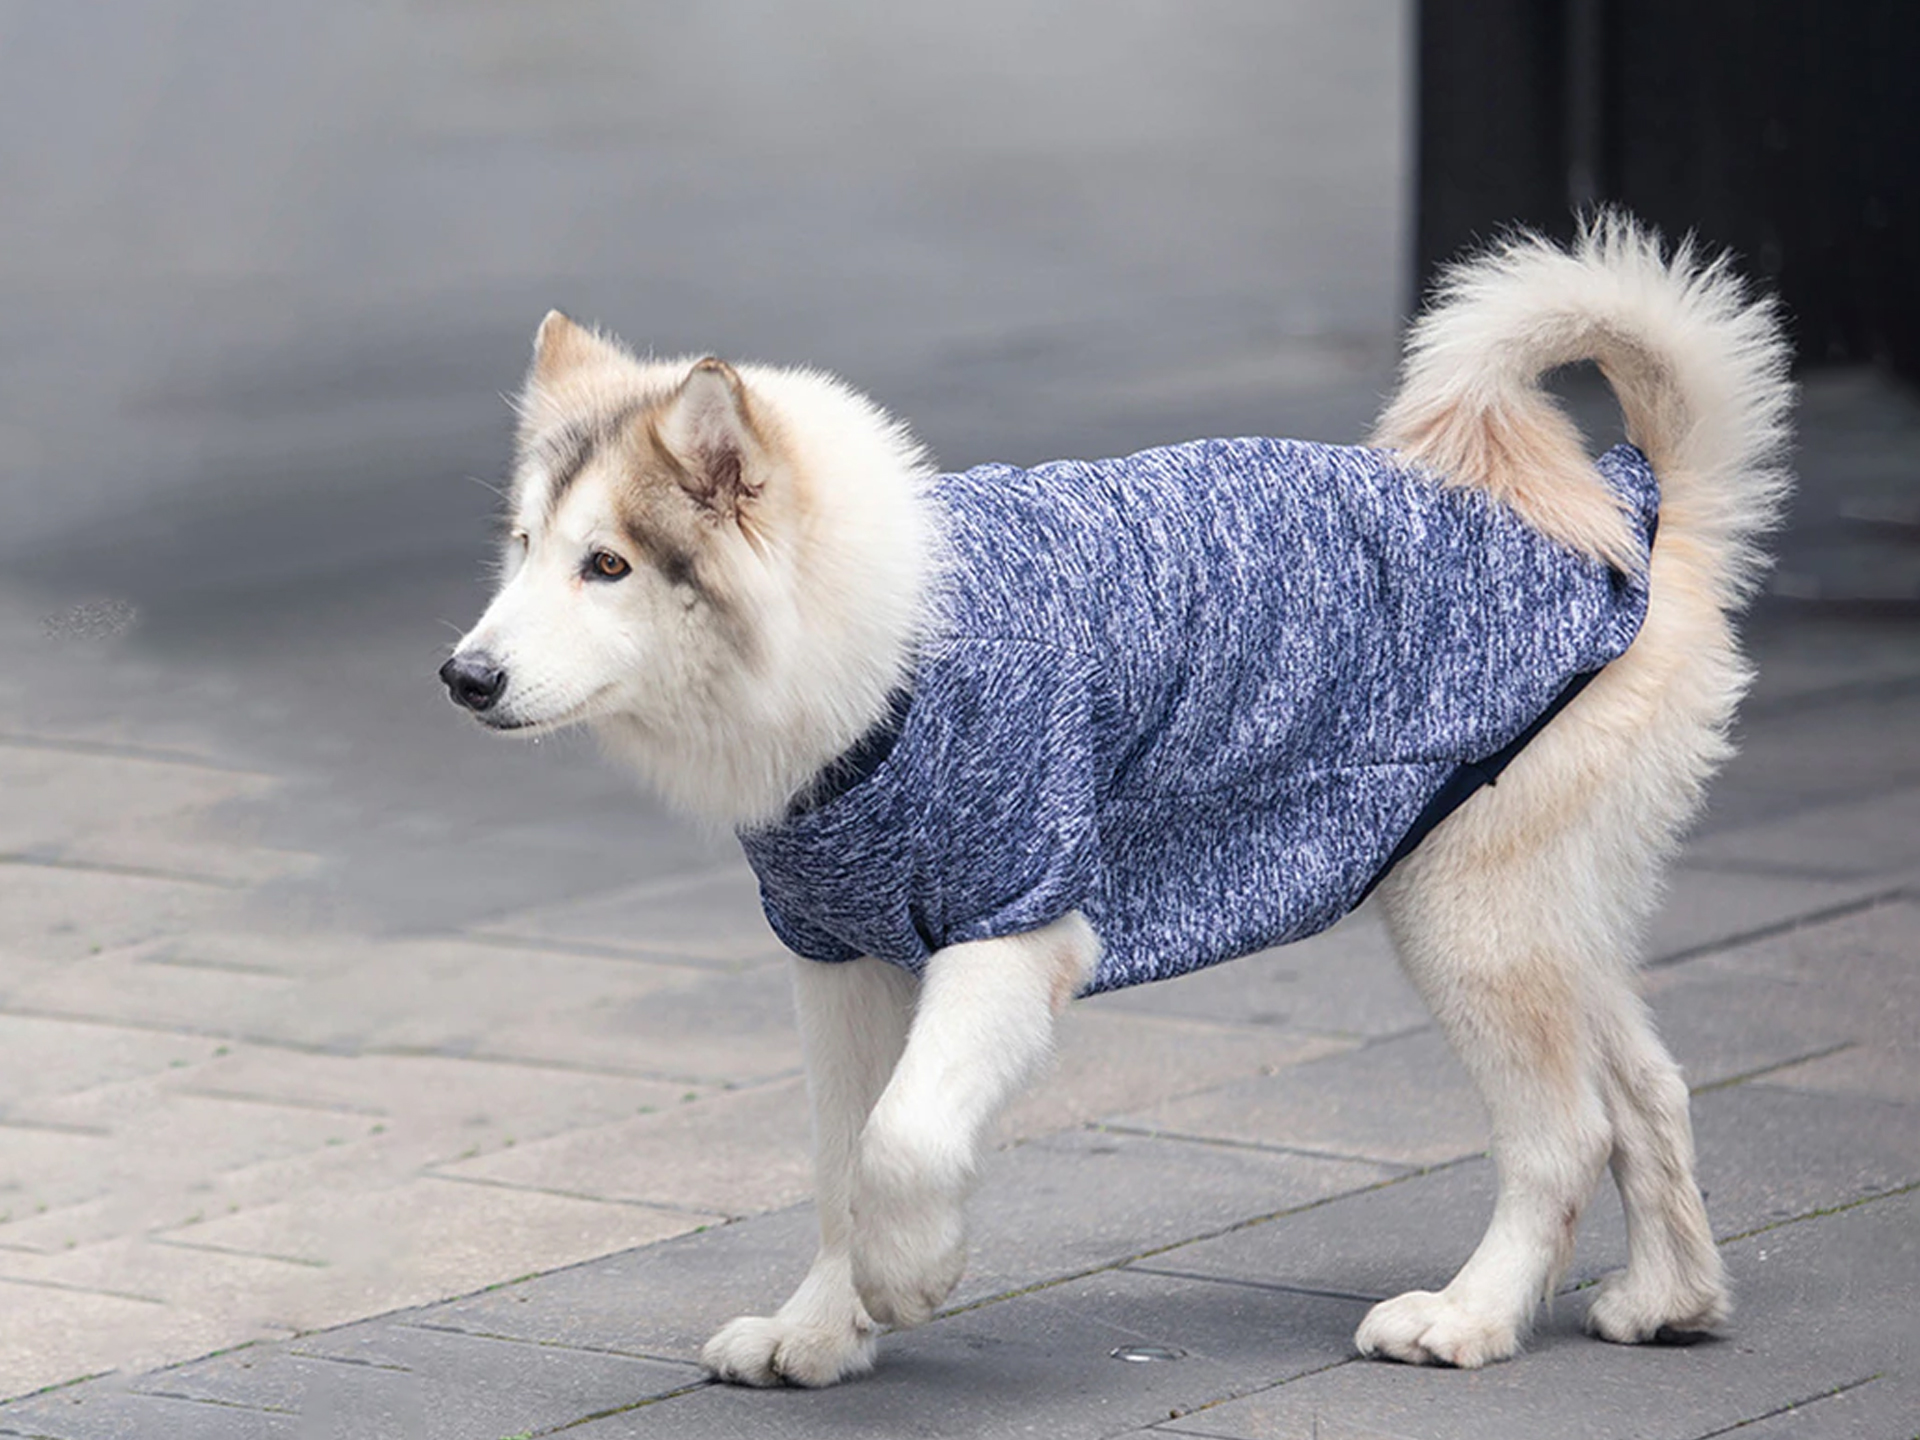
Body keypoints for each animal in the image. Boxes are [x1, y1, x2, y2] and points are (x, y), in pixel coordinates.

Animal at [441, 214, 1789, 1390]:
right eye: (523, 548)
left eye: (608, 565)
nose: (464, 679)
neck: (888, 661)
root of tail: (1643, 517)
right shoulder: (840, 958)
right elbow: (838, 1156)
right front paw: (822, 1329)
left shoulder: (1016, 921)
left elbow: (901, 1140)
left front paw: (908, 1276)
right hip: (1543, 907)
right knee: (1646, 1091)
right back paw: (1667, 1302)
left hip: (1470, 913)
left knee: (1566, 1132)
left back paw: (1470, 1318)